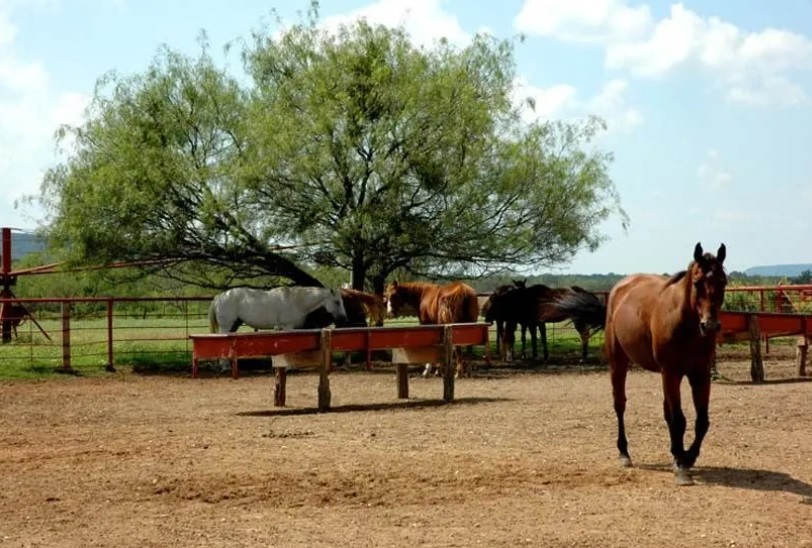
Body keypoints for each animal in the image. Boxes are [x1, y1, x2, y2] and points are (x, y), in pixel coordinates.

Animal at [209, 286, 346, 334]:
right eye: (337, 302)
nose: (344, 318)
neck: (296, 301)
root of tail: (219, 297)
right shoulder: (288, 327)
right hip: (226, 326)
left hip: (235, 325)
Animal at [556, 242, 728, 486]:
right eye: (697, 282)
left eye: (723, 281)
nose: (710, 325)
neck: (686, 325)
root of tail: (620, 289)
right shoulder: (672, 373)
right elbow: (679, 420)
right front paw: (682, 465)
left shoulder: (700, 375)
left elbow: (701, 421)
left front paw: (687, 457)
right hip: (618, 363)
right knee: (620, 405)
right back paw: (624, 453)